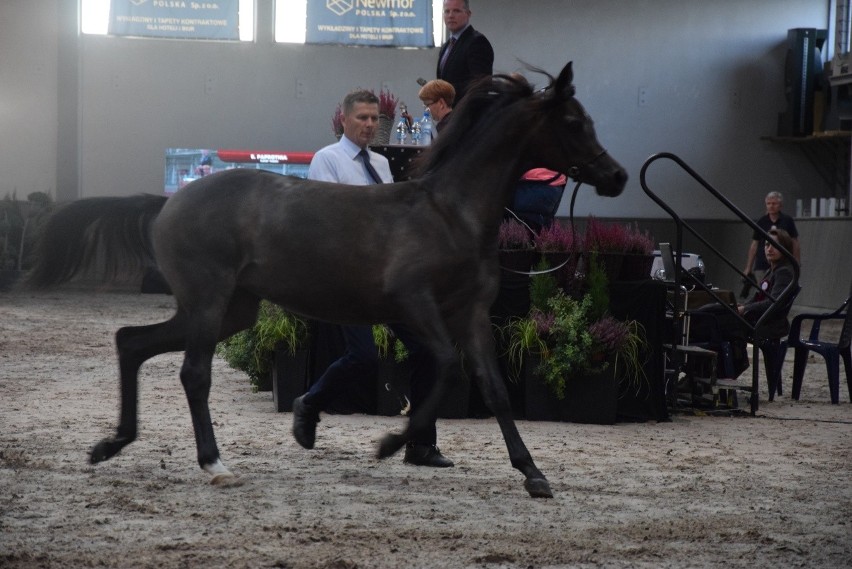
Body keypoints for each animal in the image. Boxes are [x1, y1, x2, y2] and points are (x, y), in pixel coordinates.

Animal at [26, 62, 624, 496]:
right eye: (573, 122)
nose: (616, 176)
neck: (450, 212)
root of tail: (169, 202)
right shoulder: (415, 303)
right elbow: (447, 368)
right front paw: (389, 444)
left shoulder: (471, 313)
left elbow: (494, 388)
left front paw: (533, 474)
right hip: (209, 299)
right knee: (193, 374)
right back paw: (214, 464)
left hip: (230, 308)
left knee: (131, 342)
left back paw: (112, 444)